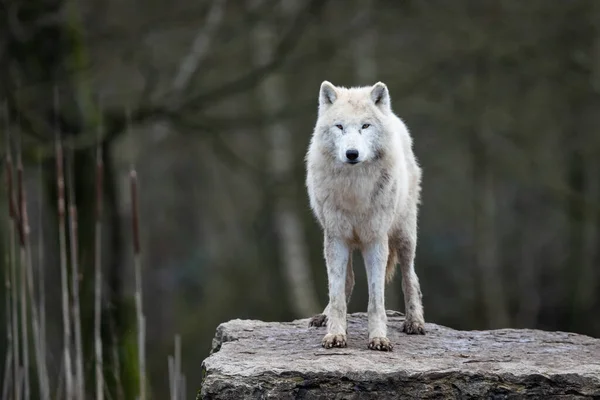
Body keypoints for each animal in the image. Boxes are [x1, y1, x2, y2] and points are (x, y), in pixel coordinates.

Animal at [304, 80, 426, 350]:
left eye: (365, 126)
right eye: (339, 126)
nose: (352, 153)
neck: (355, 190)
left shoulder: (376, 240)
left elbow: (376, 300)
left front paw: (379, 338)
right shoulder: (336, 237)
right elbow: (337, 294)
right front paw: (335, 334)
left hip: (404, 235)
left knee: (410, 278)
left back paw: (414, 322)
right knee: (347, 280)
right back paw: (324, 316)